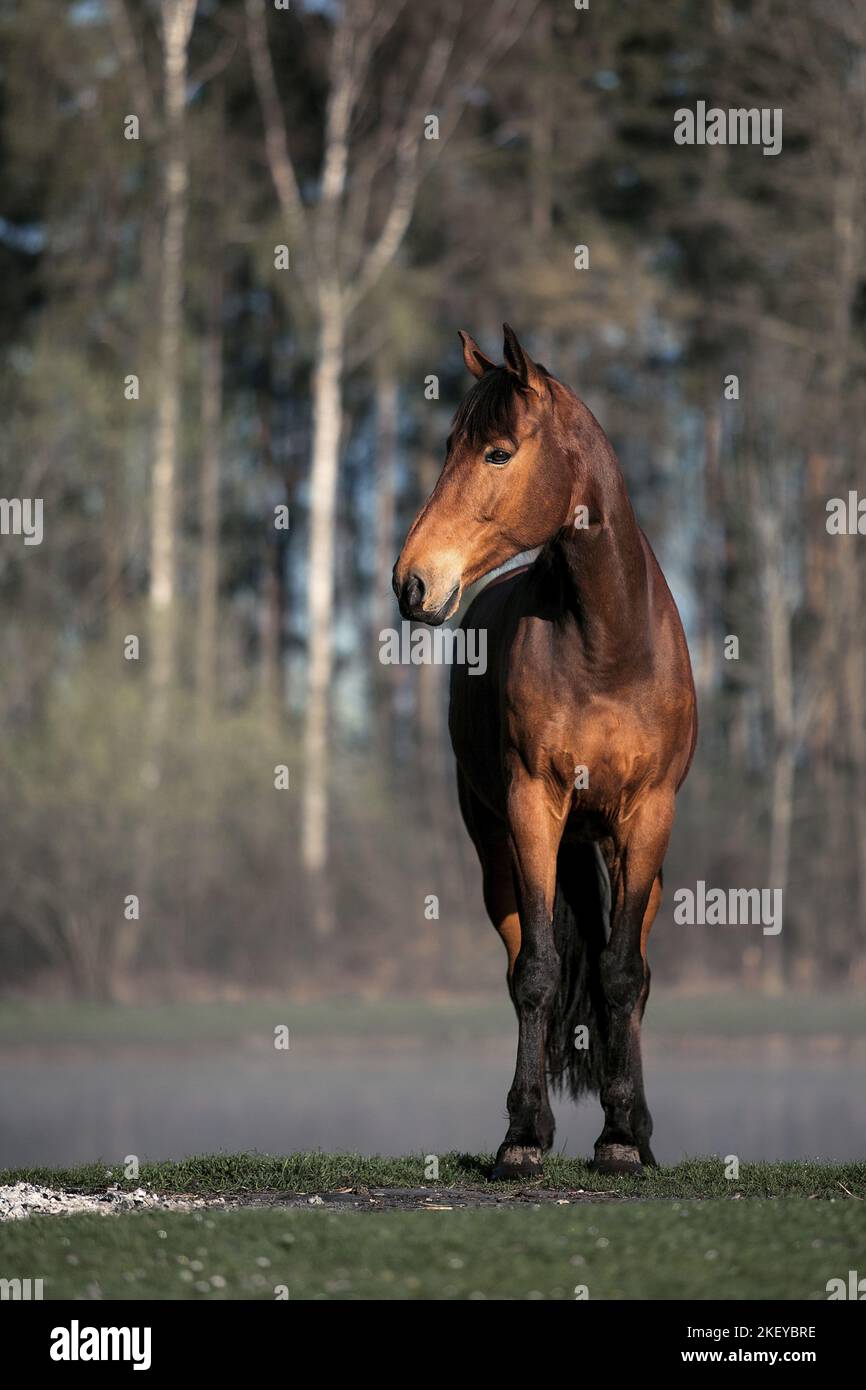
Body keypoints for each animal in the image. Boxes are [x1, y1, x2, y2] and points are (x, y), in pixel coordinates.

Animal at [391, 328, 697, 1184]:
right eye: (449, 446)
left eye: (497, 452)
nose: (411, 582)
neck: (608, 647)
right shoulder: (534, 808)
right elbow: (537, 973)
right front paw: (524, 1136)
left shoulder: (647, 818)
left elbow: (622, 975)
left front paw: (623, 1138)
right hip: (500, 851)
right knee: (524, 960)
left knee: (636, 974)